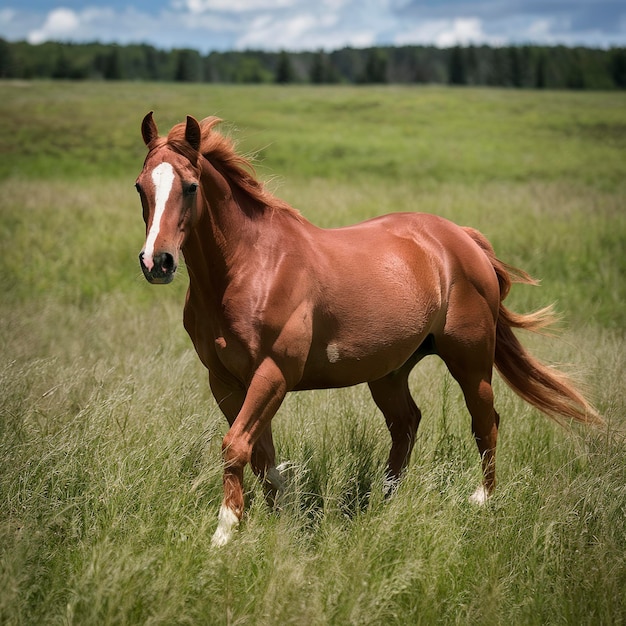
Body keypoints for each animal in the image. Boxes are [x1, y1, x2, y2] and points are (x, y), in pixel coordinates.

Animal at [134, 113, 596, 544]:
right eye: (140, 187)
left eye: (191, 186)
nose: (157, 262)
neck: (251, 267)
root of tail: (463, 239)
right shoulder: (225, 380)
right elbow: (259, 453)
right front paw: (275, 519)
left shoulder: (273, 373)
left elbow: (235, 447)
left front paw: (225, 534)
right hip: (389, 372)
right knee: (406, 424)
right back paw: (383, 503)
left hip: (470, 360)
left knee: (485, 421)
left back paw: (482, 500)